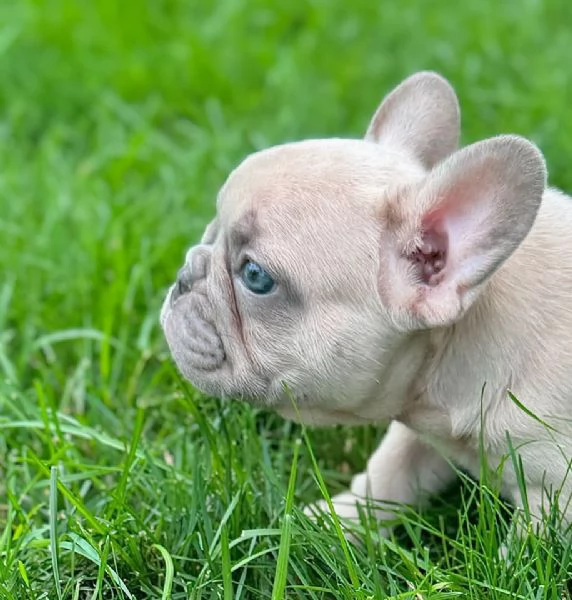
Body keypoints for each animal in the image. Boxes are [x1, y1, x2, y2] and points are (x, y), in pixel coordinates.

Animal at [159, 71, 572, 536]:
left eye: (255, 276)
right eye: (211, 231)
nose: (184, 276)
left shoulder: (552, 493)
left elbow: (525, 542)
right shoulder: (419, 432)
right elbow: (388, 475)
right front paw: (337, 523)